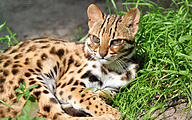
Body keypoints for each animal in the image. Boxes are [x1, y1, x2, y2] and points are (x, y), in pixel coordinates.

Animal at [0, 3, 140, 120]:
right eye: (96, 39)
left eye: (116, 41)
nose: (102, 54)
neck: (114, 67)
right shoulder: (68, 85)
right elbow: (90, 99)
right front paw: (113, 112)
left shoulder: (112, 88)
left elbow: (104, 95)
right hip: (32, 83)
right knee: (56, 116)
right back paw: (107, 117)